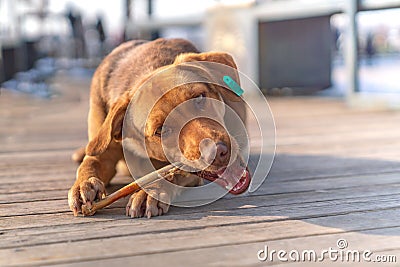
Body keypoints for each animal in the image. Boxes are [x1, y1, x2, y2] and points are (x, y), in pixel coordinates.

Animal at [68, 38, 250, 218]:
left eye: (199, 97)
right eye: (160, 130)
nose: (218, 153)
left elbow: (171, 174)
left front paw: (149, 191)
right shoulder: (101, 152)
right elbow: (89, 163)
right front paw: (84, 184)